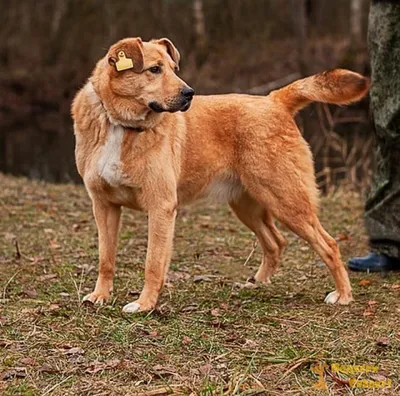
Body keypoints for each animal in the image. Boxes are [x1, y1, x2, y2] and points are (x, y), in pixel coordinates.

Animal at [72, 36, 368, 312]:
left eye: (173, 68)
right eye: (154, 69)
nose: (189, 93)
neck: (118, 123)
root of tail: (275, 100)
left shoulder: (161, 207)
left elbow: (153, 263)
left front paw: (144, 305)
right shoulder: (104, 206)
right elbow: (106, 258)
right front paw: (100, 296)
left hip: (286, 200)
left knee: (329, 244)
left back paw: (343, 295)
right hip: (249, 205)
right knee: (276, 242)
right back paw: (258, 283)